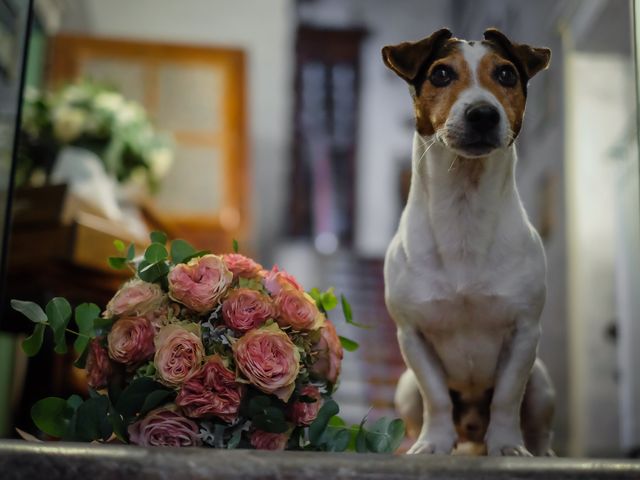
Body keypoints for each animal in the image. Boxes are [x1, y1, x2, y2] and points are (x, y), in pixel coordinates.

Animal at [382, 28, 556, 456]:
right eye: (441, 74)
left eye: (506, 74)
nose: (482, 113)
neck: (464, 208)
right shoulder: (412, 337)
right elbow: (436, 397)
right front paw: (433, 444)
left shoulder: (524, 332)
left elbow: (507, 397)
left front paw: (508, 446)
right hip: (404, 387)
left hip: (542, 384)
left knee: (539, 424)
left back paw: (540, 451)